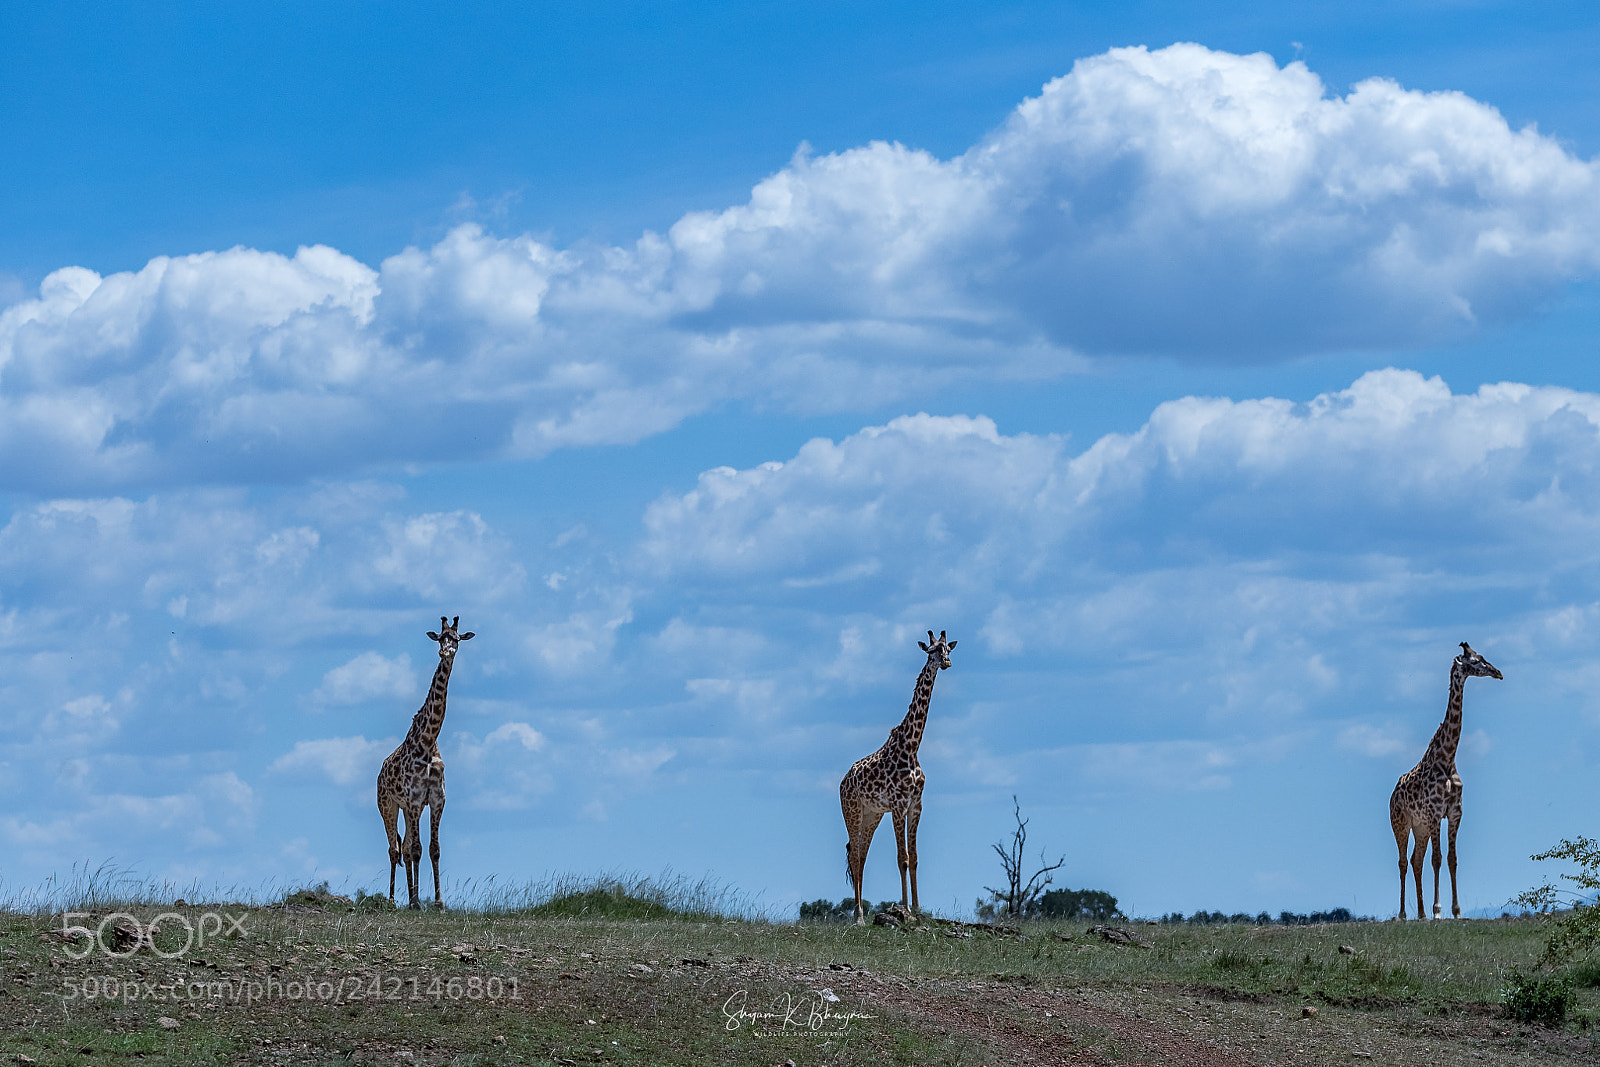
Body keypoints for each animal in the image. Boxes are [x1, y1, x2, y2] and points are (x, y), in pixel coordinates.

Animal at [376, 616, 474, 909]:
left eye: (457, 638)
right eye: (440, 637)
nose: (445, 652)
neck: (428, 741)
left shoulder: (436, 799)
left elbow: (433, 849)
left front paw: (438, 902)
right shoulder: (414, 799)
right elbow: (418, 849)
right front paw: (418, 901)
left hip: (410, 810)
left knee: (406, 848)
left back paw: (410, 897)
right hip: (388, 804)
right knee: (395, 849)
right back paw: (394, 899)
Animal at [839, 630, 956, 924]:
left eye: (948, 649)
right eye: (931, 651)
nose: (946, 663)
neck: (912, 746)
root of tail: (842, 782)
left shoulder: (916, 805)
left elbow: (913, 858)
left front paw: (917, 909)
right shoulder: (898, 805)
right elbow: (901, 858)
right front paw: (905, 911)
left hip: (872, 815)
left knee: (861, 857)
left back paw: (860, 912)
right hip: (852, 811)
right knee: (855, 857)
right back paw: (858, 916)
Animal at [1389, 641, 1502, 921]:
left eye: (1482, 657)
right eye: (1476, 661)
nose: (1498, 673)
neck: (1448, 757)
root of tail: (1392, 794)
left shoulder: (1454, 812)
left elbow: (1452, 859)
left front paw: (1457, 911)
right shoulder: (1434, 813)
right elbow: (1437, 859)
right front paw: (1438, 911)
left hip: (1419, 827)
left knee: (1415, 860)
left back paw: (1420, 913)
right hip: (1401, 823)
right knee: (1403, 862)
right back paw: (1404, 914)